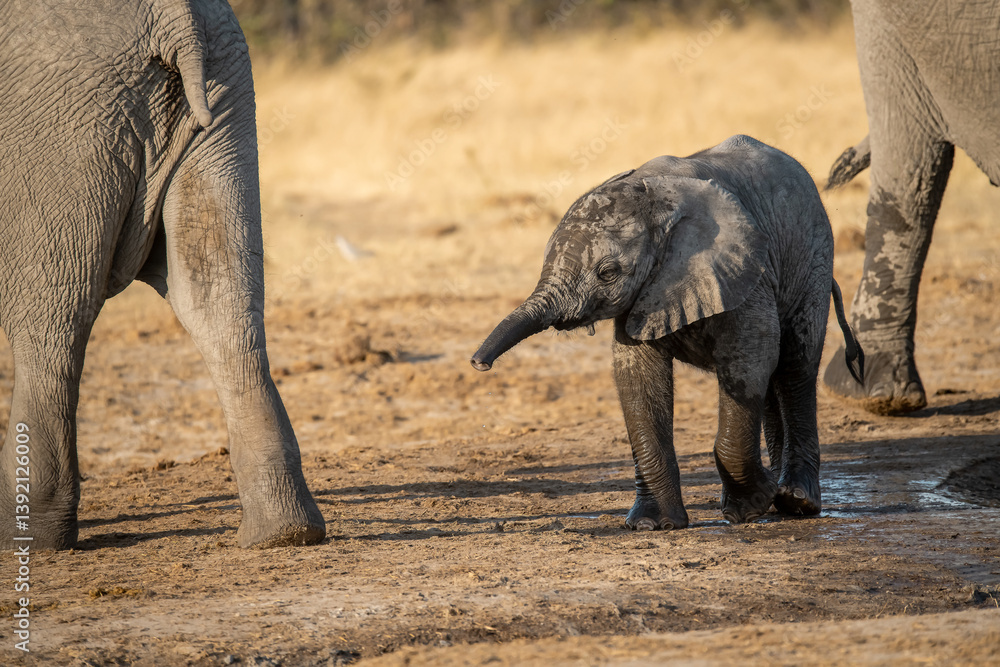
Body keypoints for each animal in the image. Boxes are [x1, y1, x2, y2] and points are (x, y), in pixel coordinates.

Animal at [0, 0, 325, 550]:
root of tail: (173, 18)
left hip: (49, 128)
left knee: (53, 320)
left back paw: (29, 537)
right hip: (224, 91)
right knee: (218, 296)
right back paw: (284, 534)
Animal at [471, 136, 863, 529]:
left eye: (608, 273)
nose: (478, 363)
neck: (654, 198)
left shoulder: (745, 271)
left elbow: (748, 361)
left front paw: (750, 507)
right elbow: (639, 378)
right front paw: (652, 525)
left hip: (812, 259)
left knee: (796, 365)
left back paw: (797, 501)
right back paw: (781, 499)